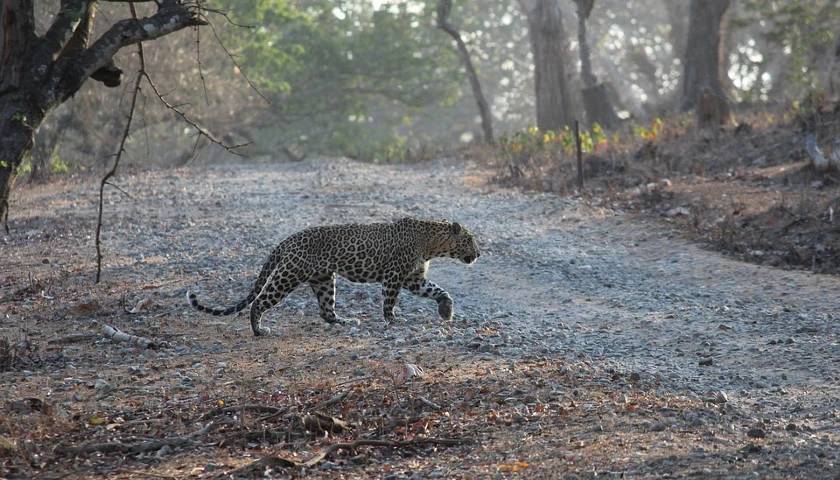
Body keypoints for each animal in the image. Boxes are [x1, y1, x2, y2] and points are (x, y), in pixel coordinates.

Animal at [188, 216, 482, 336]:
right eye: (469, 240)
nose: (478, 254)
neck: (432, 243)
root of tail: (287, 240)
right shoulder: (394, 276)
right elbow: (389, 300)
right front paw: (392, 320)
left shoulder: (413, 278)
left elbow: (438, 290)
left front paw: (446, 310)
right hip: (288, 275)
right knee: (259, 301)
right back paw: (259, 330)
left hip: (323, 280)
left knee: (325, 310)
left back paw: (345, 321)